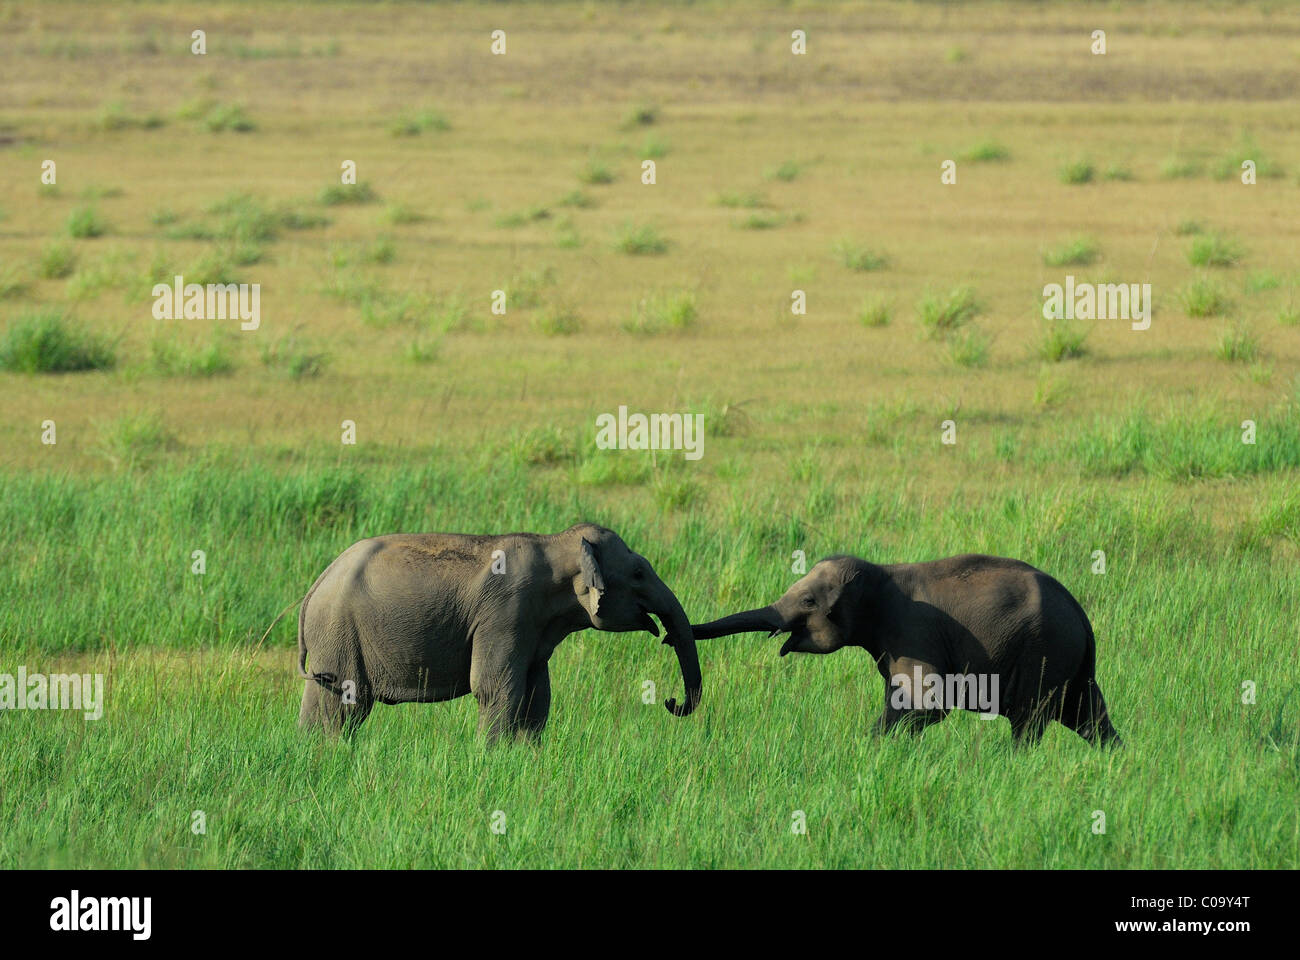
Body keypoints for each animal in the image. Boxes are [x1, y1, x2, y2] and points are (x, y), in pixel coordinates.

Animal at [297, 522, 702, 738]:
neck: (555, 543)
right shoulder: (505, 614)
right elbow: (496, 690)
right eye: (638, 573)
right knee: (343, 702)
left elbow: (537, 696)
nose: (671, 702)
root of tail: (317, 583)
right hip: (338, 632)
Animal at [696, 548, 1123, 744]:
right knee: (1089, 716)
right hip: (1070, 660)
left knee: (1029, 721)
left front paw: (872, 747)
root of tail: (1080, 614)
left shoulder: (913, 632)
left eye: (807, 601)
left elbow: (927, 706)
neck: (879, 574)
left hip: (1045, 650)